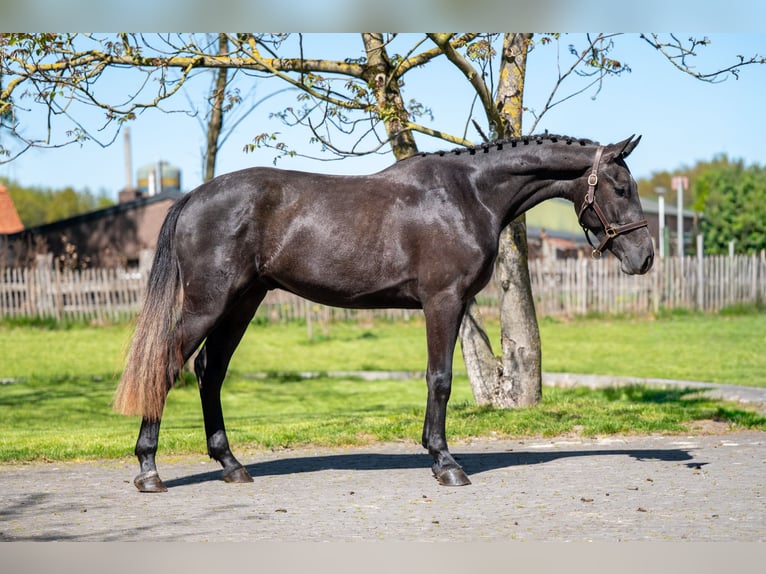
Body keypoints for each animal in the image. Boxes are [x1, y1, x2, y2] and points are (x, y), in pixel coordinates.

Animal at [114, 133, 654, 492]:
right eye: (621, 187)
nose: (645, 257)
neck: (469, 193)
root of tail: (192, 197)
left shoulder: (453, 305)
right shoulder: (442, 301)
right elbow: (441, 378)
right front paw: (445, 462)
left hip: (244, 301)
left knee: (211, 370)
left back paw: (230, 464)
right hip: (209, 304)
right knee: (168, 366)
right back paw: (149, 469)